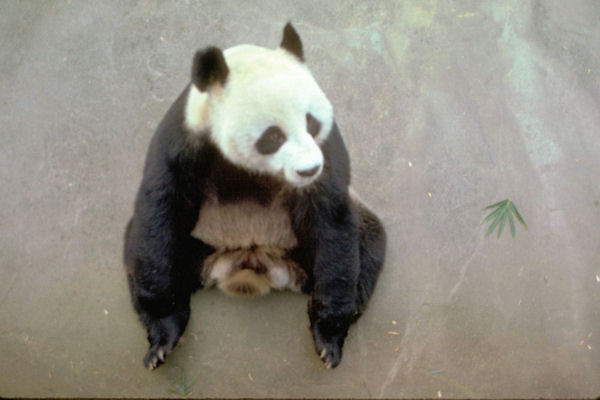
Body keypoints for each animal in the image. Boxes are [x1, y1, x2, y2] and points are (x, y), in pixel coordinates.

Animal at [124, 23, 386, 370]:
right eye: (273, 136)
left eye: (311, 122)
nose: (309, 170)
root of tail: (249, 262)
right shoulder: (184, 138)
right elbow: (162, 209)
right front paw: (163, 330)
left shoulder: (327, 148)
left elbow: (331, 218)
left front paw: (328, 334)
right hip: (195, 245)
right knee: (137, 245)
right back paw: (162, 339)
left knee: (367, 240)